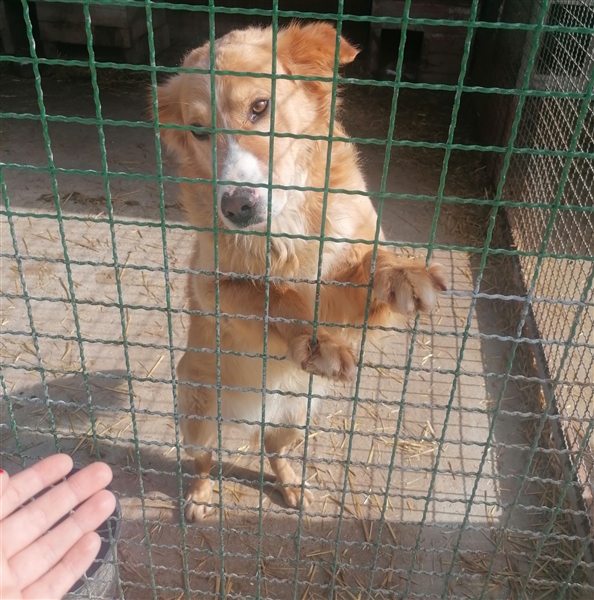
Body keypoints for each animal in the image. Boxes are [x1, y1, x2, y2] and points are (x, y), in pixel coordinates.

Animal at [156, 22, 446, 521]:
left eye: (260, 106)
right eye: (198, 130)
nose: (237, 206)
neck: (285, 222)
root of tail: (256, 413)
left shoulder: (355, 282)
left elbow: (374, 261)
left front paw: (404, 273)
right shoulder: (213, 284)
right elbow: (272, 298)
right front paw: (314, 344)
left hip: (296, 417)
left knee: (274, 449)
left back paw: (291, 485)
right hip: (199, 413)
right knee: (204, 460)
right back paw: (198, 497)